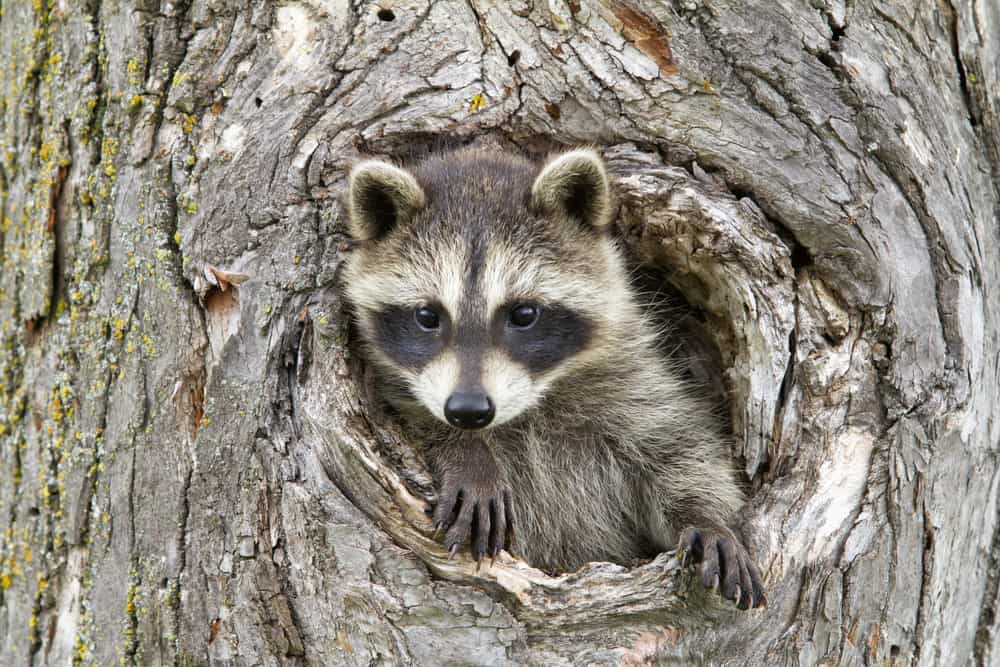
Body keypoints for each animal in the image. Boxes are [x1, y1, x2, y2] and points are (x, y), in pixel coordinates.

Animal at [342, 147, 764, 612]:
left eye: (524, 314)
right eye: (427, 316)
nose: (467, 411)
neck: (529, 407)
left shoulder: (632, 376)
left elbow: (677, 446)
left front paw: (707, 517)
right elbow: (407, 410)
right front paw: (467, 452)